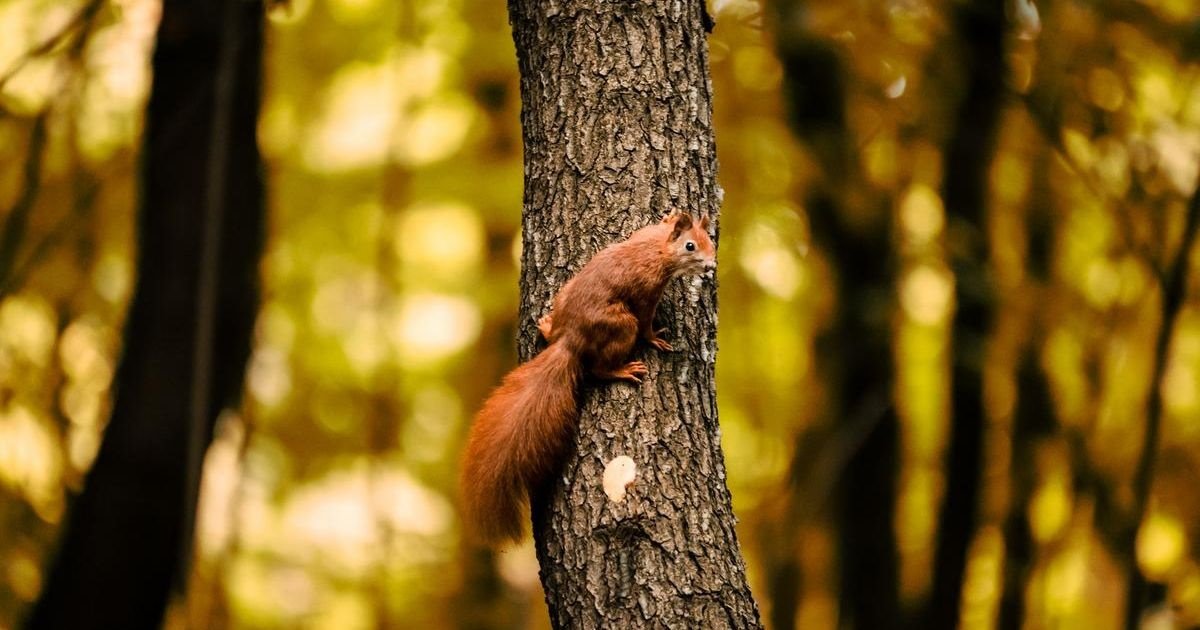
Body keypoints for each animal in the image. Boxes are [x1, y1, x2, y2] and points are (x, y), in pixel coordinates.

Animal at [460, 212, 710, 544]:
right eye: (691, 246)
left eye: (710, 241)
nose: (710, 266)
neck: (658, 247)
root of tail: (570, 340)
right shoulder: (648, 289)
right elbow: (647, 320)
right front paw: (655, 338)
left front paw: (669, 213)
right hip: (621, 324)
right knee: (599, 368)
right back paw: (622, 370)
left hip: (564, 296)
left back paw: (546, 326)